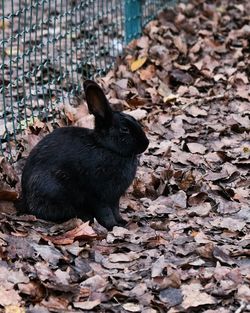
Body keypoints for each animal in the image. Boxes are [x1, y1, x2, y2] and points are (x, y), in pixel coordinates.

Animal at [18, 78, 149, 229]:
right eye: (124, 129)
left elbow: (115, 210)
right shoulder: (100, 196)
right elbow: (105, 212)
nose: (146, 144)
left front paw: (122, 222)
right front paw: (112, 225)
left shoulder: (114, 198)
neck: (106, 147)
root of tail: (25, 200)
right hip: (54, 189)